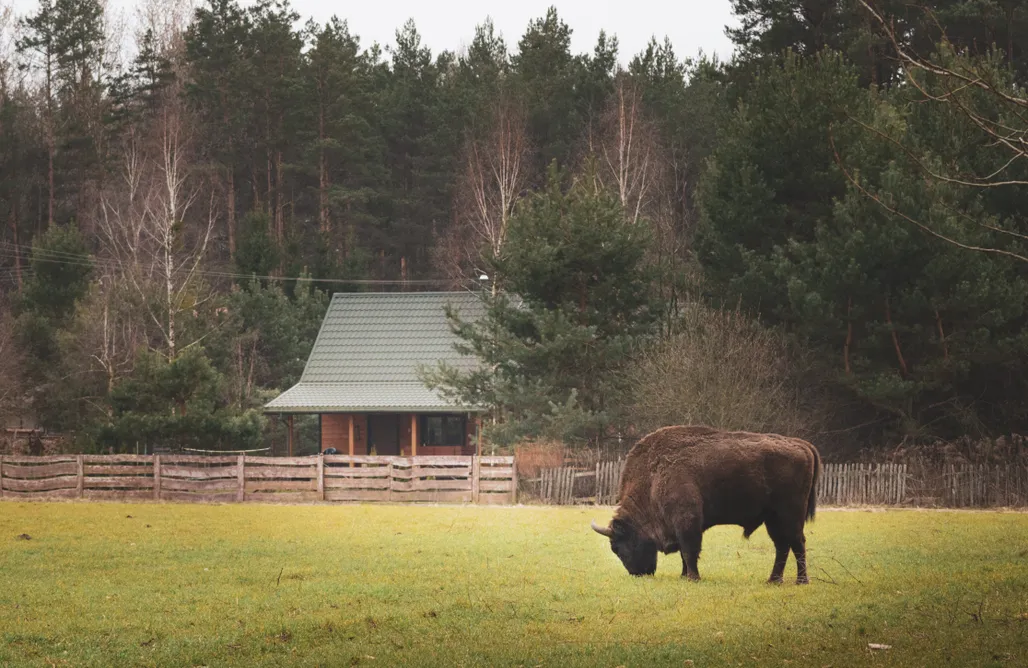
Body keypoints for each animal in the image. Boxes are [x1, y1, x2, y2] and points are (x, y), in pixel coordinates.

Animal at [596, 423, 818, 579]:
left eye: (618, 547)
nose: (638, 573)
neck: (653, 476)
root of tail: (801, 444)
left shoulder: (687, 521)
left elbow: (689, 551)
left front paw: (693, 577)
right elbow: (684, 554)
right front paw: (684, 575)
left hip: (789, 515)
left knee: (797, 543)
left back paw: (800, 581)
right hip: (772, 519)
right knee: (782, 546)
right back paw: (773, 580)